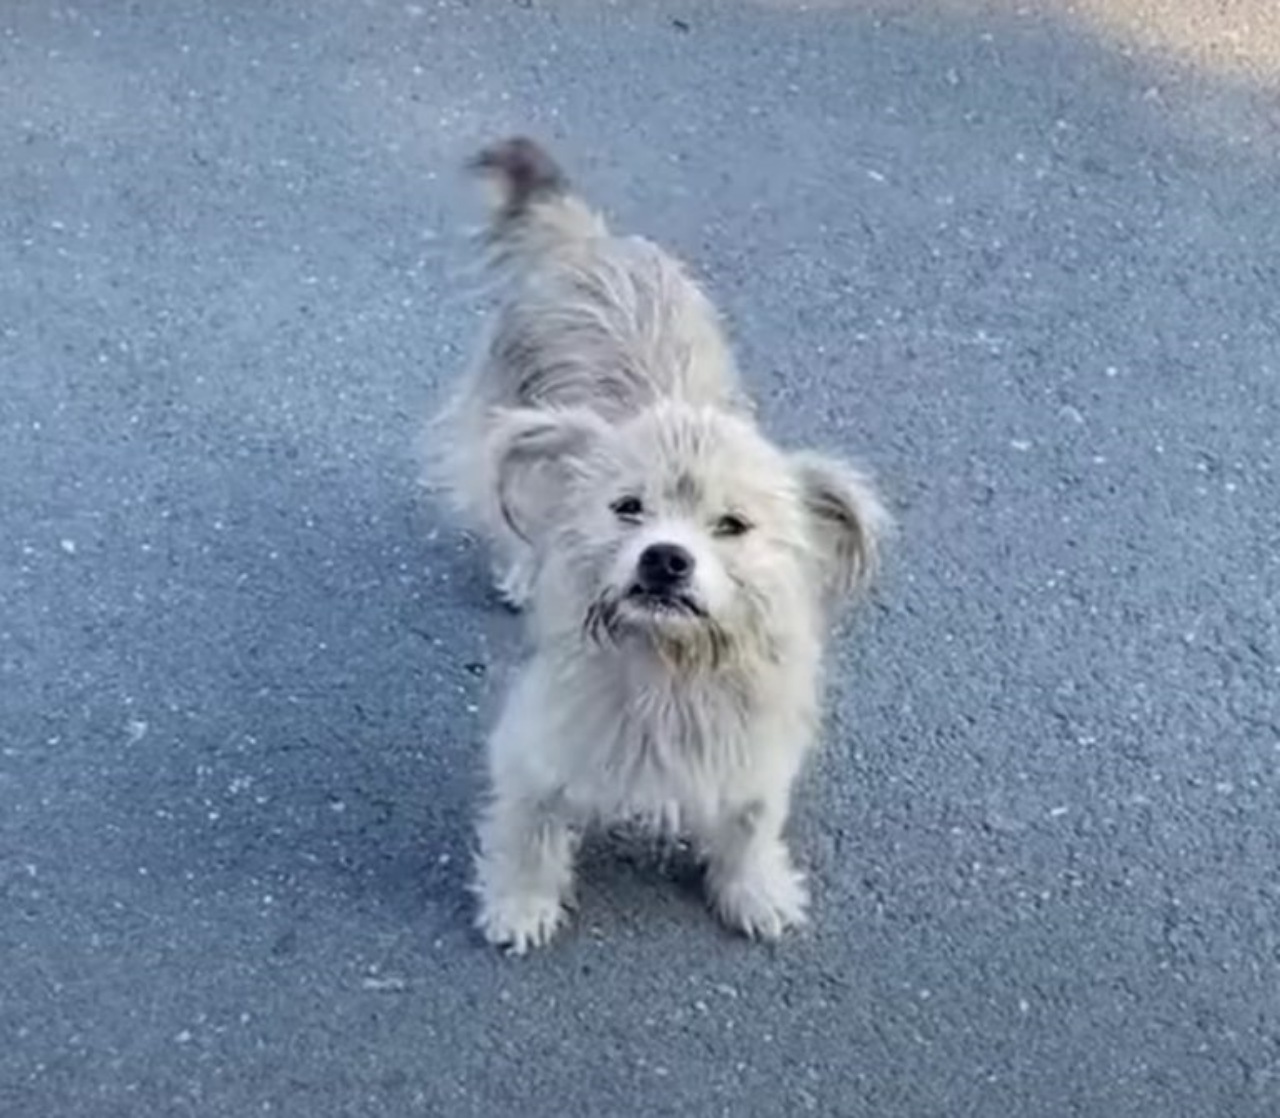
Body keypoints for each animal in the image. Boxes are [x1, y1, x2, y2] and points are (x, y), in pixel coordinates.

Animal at [430, 135, 890, 947]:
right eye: (628, 508)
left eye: (731, 525)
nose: (666, 559)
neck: (672, 665)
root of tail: (592, 241)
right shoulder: (538, 743)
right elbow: (528, 830)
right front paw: (521, 904)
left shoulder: (755, 750)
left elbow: (751, 824)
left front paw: (754, 891)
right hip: (501, 427)